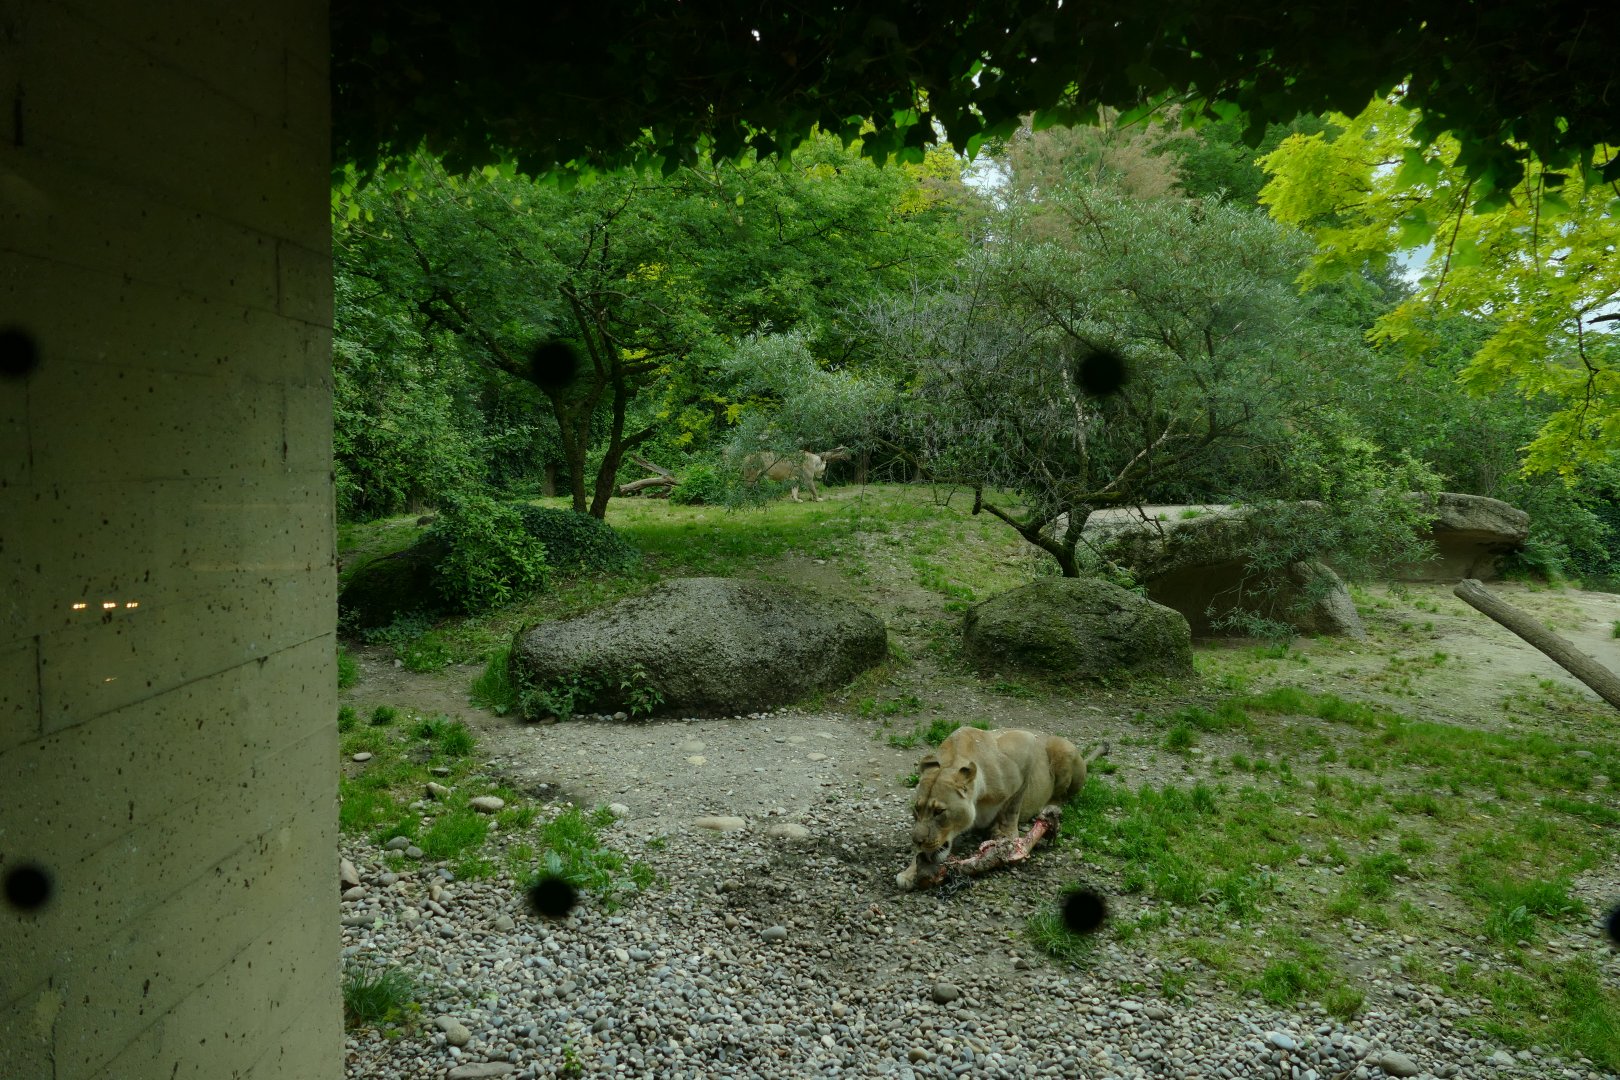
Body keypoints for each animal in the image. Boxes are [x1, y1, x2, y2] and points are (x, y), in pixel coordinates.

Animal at [896, 726, 1108, 890]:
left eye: (939, 812)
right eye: (916, 809)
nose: (917, 840)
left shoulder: (1025, 744)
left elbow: (1012, 805)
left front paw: (1005, 834)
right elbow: (923, 854)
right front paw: (910, 872)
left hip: (1064, 750)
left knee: (1062, 797)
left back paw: (1050, 807)